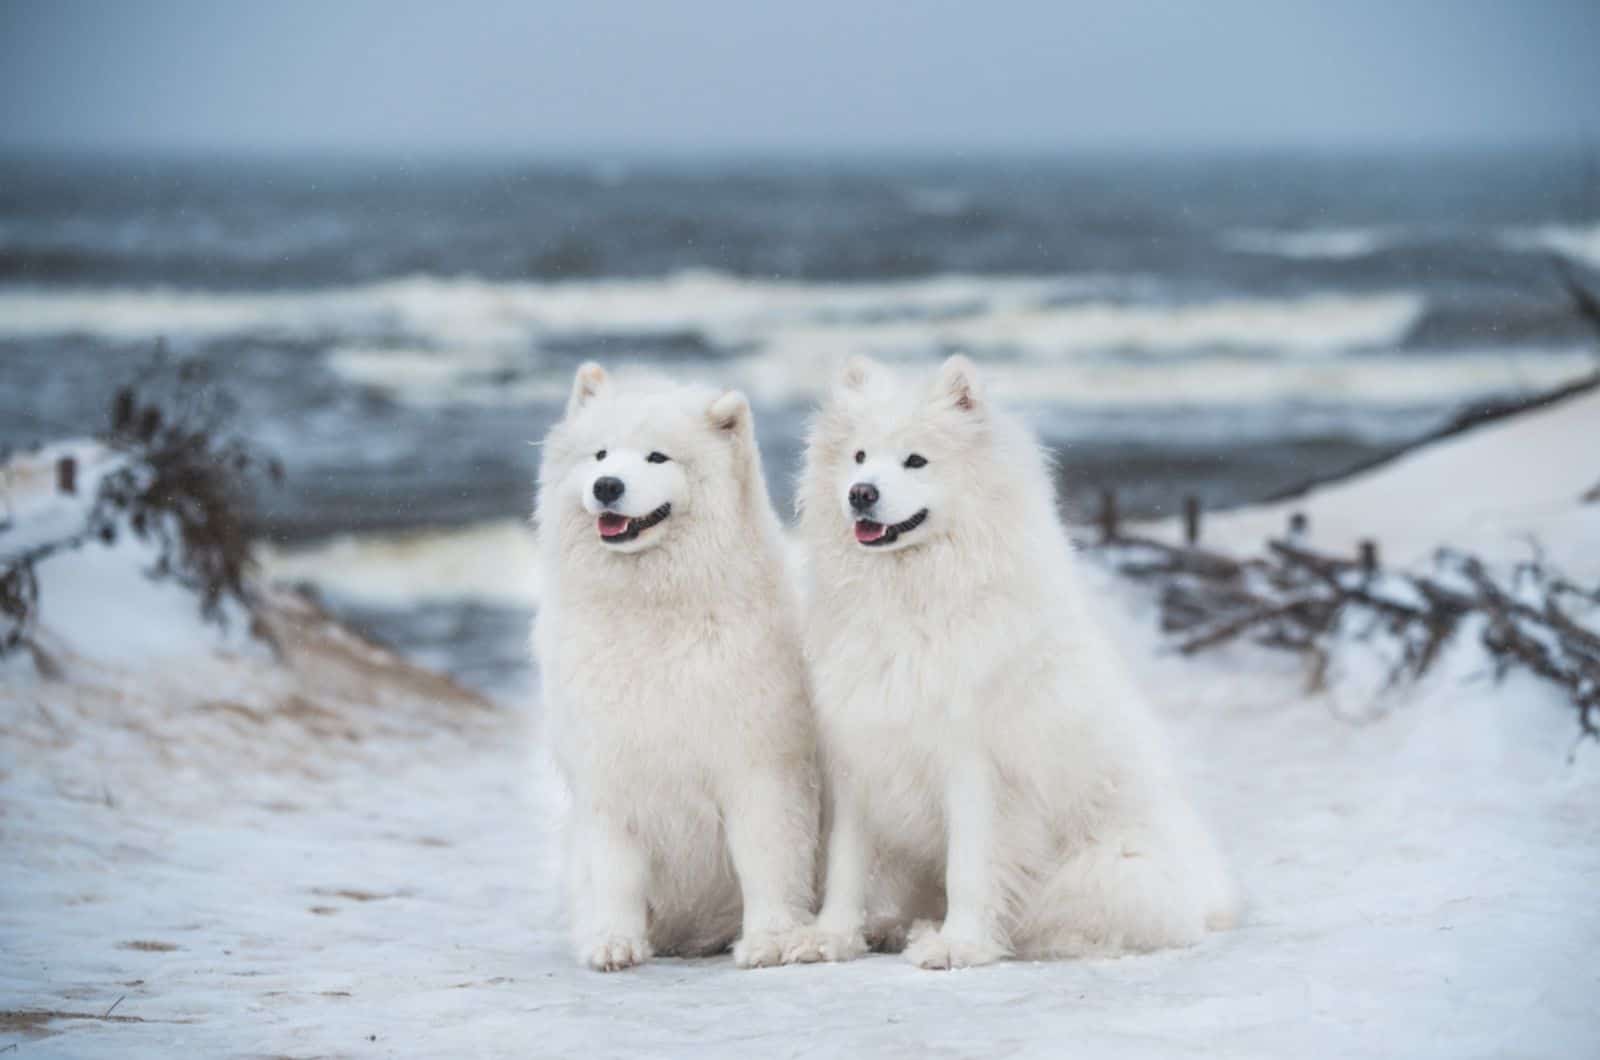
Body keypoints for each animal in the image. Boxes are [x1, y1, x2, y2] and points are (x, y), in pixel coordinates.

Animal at [537, 365, 819, 973]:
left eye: (657, 457)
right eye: (600, 454)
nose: (607, 486)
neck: (652, 614)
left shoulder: (758, 769)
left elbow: (766, 858)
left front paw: (768, 940)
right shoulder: (610, 773)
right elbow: (615, 872)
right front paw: (614, 944)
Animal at [793, 357, 1228, 973]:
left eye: (915, 460)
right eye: (858, 456)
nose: (860, 493)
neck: (912, 600)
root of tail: (1209, 895)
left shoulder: (974, 765)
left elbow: (970, 871)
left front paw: (959, 945)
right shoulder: (859, 752)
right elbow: (844, 869)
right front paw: (830, 937)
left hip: (1105, 872)